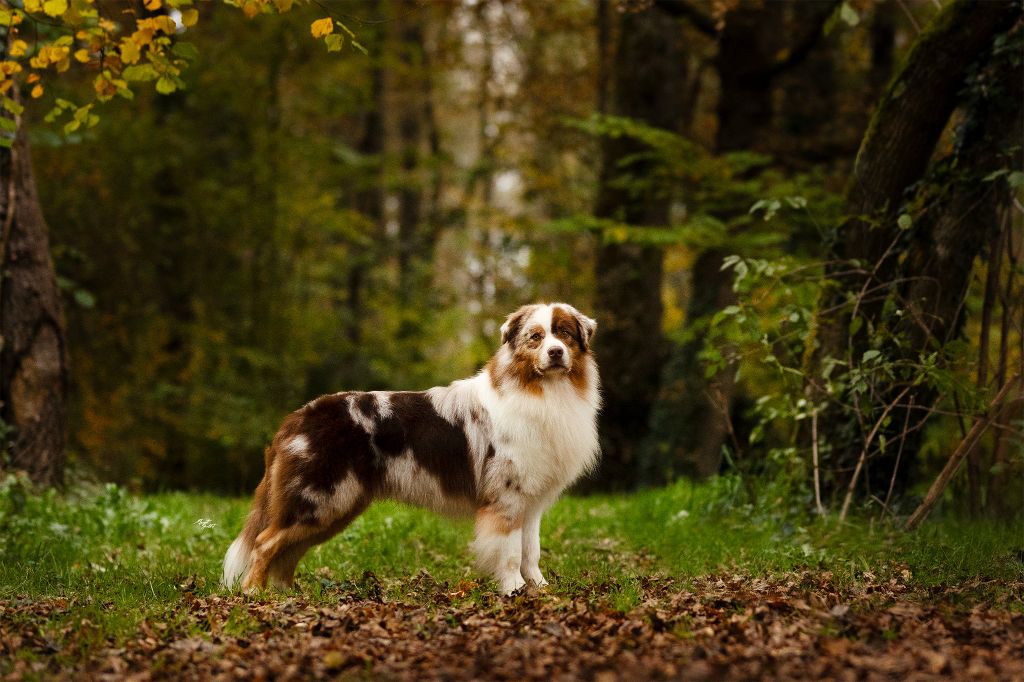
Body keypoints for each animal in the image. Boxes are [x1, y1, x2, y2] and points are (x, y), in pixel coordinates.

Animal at [220, 301, 598, 593]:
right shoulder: (506, 497)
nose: (555, 353)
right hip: (319, 499)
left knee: (287, 552)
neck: (543, 392)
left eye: (564, 333)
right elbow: (508, 552)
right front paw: (514, 590)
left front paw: (540, 589)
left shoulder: (531, 501)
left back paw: (287, 595)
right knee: (265, 543)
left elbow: (531, 551)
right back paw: (254, 594)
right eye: (536, 337)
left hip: (336, 507)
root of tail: (297, 416)